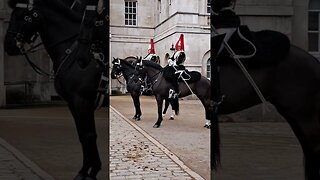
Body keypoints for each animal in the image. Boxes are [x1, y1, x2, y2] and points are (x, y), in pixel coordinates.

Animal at [4, 0, 108, 179]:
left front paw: (90, 171)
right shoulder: (74, 103)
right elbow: (83, 135)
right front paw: (85, 170)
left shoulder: (81, 101)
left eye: (21, 15)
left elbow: (88, 135)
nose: (8, 45)